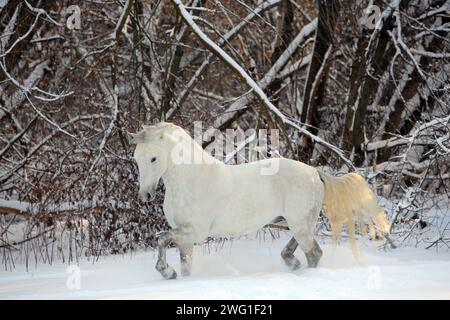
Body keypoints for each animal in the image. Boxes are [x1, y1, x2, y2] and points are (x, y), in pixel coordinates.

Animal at [130, 121, 390, 278]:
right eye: (136, 158)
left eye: (153, 158)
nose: (145, 195)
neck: (192, 180)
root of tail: (315, 173)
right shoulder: (185, 239)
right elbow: (184, 265)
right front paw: (174, 275)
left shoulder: (193, 233)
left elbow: (161, 238)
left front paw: (166, 271)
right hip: (295, 223)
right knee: (298, 250)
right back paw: (292, 264)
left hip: (300, 224)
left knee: (314, 254)